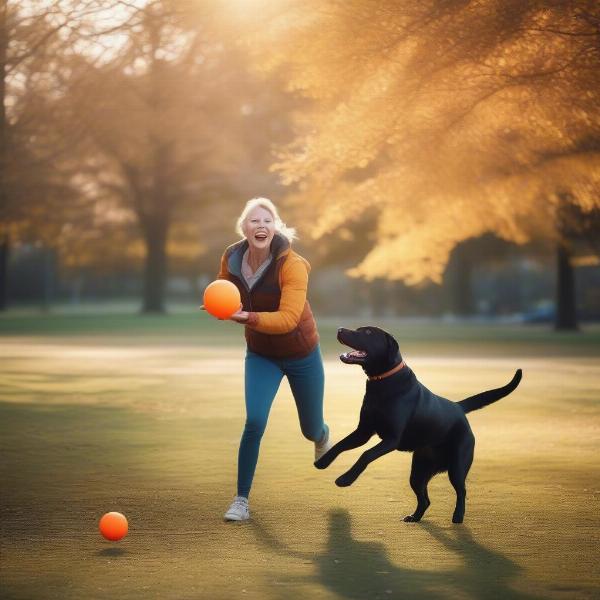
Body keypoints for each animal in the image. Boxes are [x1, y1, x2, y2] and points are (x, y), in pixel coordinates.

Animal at [316, 326, 524, 524]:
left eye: (367, 332)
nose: (340, 329)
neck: (383, 382)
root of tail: (458, 407)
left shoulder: (391, 439)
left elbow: (365, 455)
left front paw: (345, 479)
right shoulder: (363, 432)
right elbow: (340, 444)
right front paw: (322, 462)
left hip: (457, 466)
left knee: (462, 491)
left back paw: (458, 516)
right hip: (418, 472)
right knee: (425, 500)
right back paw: (414, 517)